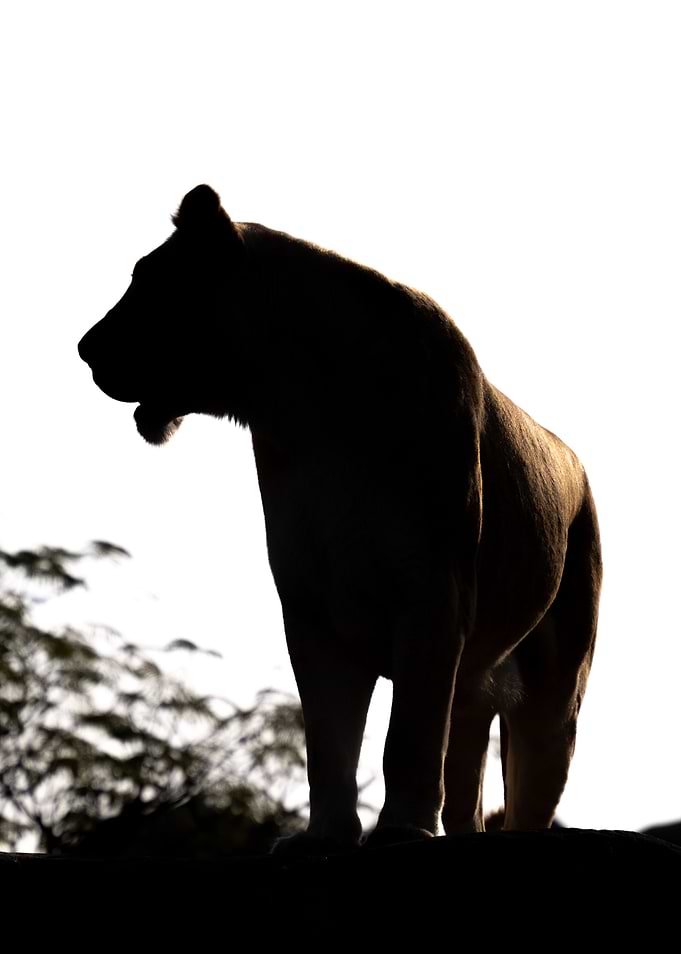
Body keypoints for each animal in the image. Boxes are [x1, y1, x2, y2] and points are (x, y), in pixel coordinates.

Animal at [78, 185, 602, 852]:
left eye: (147, 281)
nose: (84, 348)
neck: (307, 409)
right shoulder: (311, 609)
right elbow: (328, 740)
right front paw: (324, 835)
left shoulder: (434, 599)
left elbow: (407, 737)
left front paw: (403, 828)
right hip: (477, 685)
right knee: (467, 775)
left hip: (556, 691)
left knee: (531, 779)